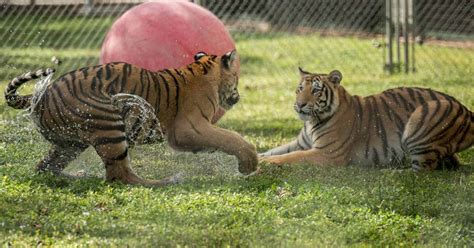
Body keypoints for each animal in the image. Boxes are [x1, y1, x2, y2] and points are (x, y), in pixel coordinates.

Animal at [4, 50, 260, 186]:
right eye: (237, 77)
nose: (238, 96)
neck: (202, 69)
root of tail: (42, 95)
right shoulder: (189, 129)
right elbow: (230, 138)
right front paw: (249, 163)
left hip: (70, 143)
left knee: (45, 166)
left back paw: (77, 176)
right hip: (109, 124)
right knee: (120, 175)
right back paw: (166, 182)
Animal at [260, 67, 474, 170]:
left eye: (315, 90)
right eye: (299, 89)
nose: (300, 104)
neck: (312, 121)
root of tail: (467, 110)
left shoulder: (327, 153)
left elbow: (290, 156)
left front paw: (266, 163)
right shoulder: (301, 143)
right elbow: (274, 151)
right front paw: (260, 156)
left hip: (425, 116)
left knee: (421, 171)